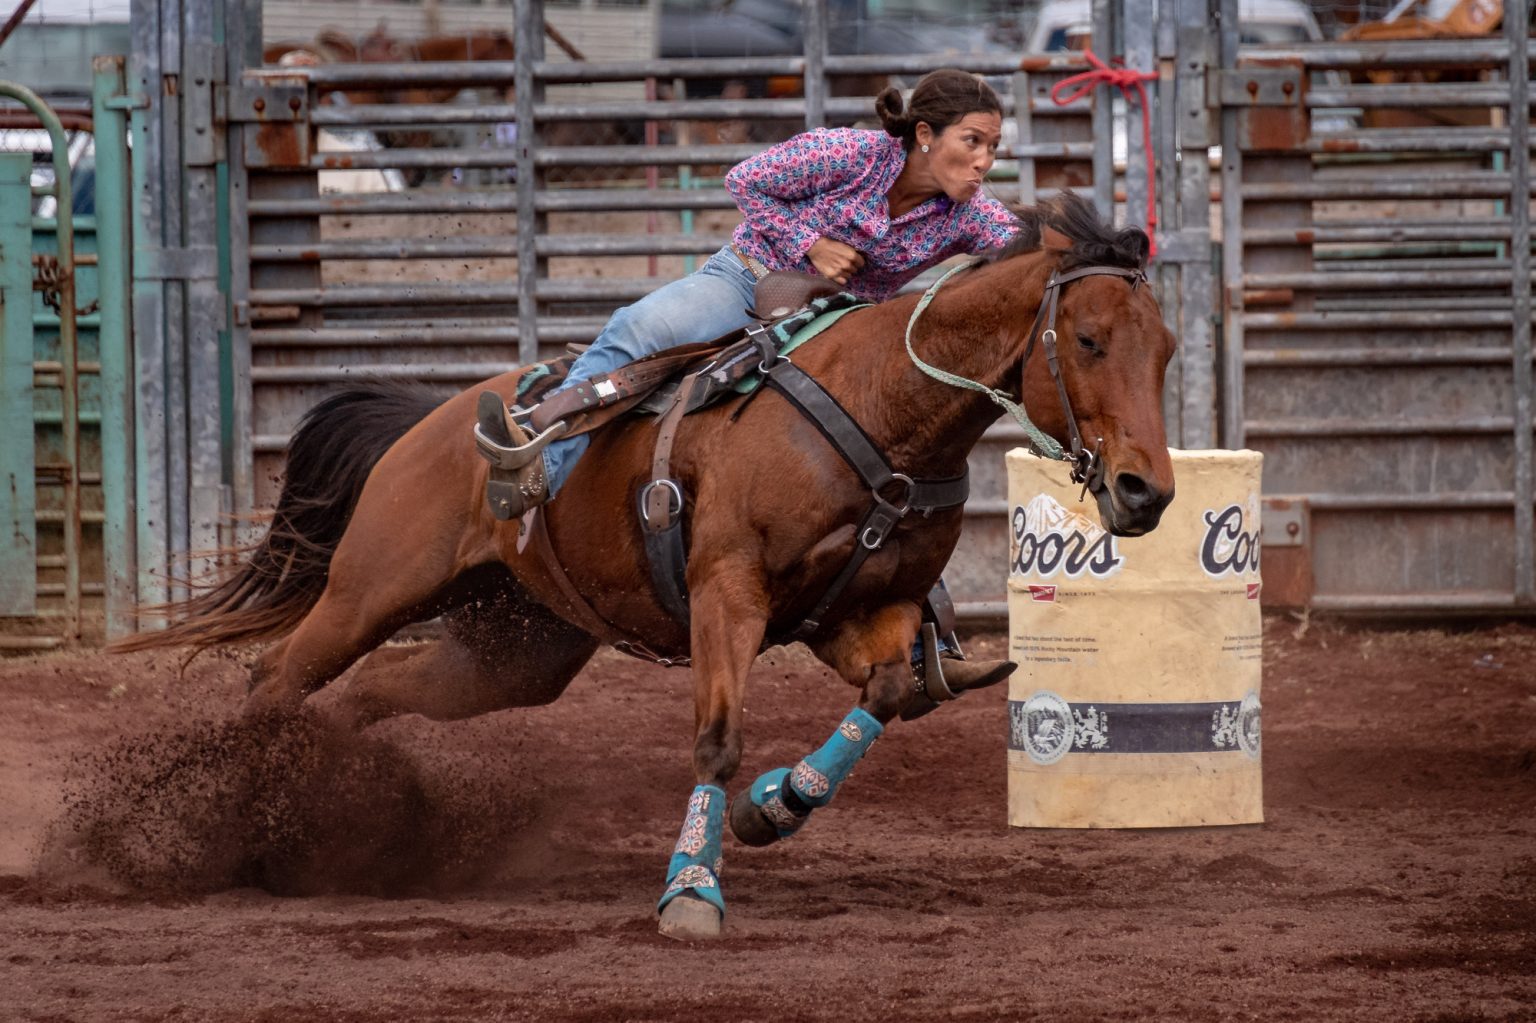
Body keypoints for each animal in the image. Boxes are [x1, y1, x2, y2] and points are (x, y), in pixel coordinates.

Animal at [119, 188, 1173, 933]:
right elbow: (718, 737)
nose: (1146, 493)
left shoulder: (858, 613)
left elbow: (890, 694)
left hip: (518, 649)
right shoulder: (726, 593)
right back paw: (228, 824)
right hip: (372, 588)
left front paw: (772, 810)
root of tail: (431, 420)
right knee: (275, 676)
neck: (881, 408)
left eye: (1164, 350)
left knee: (366, 694)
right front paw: (693, 890)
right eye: (1086, 339)